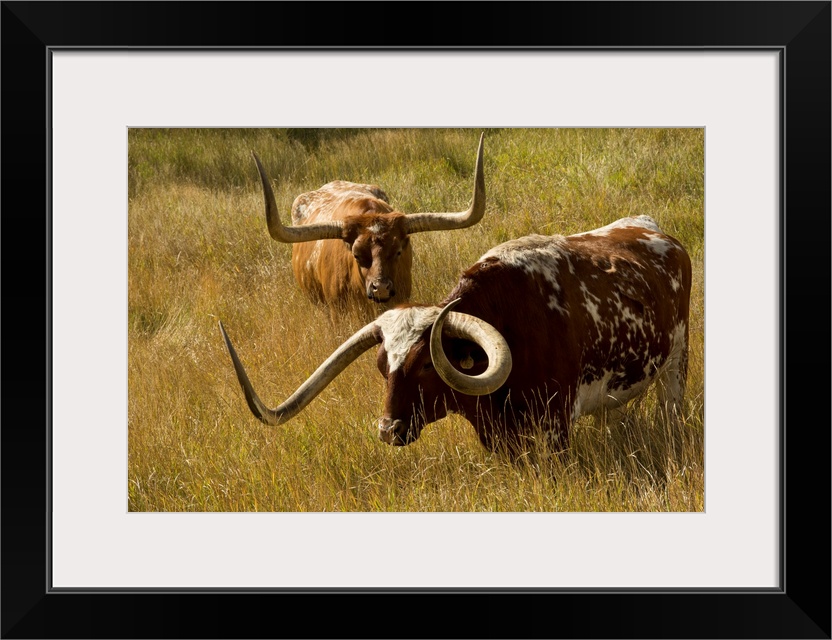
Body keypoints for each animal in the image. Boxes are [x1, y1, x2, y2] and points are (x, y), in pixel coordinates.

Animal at [219, 215, 692, 458]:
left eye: (427, 367)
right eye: (381, 368)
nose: (388, 430)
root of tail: (656, 231)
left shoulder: (557, 425)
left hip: (676, 365)